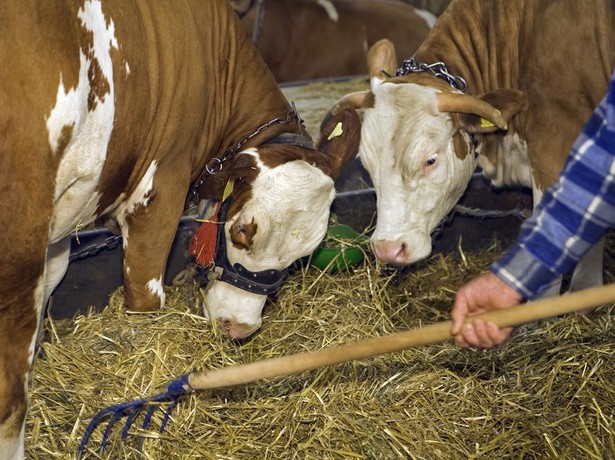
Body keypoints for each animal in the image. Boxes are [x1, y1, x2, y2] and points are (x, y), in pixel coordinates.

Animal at [0, 0, 360, 456]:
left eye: (303, 256)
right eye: (240, 231)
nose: (238, 328)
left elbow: (53, 283)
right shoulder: (160, 188)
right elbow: (144, 299)